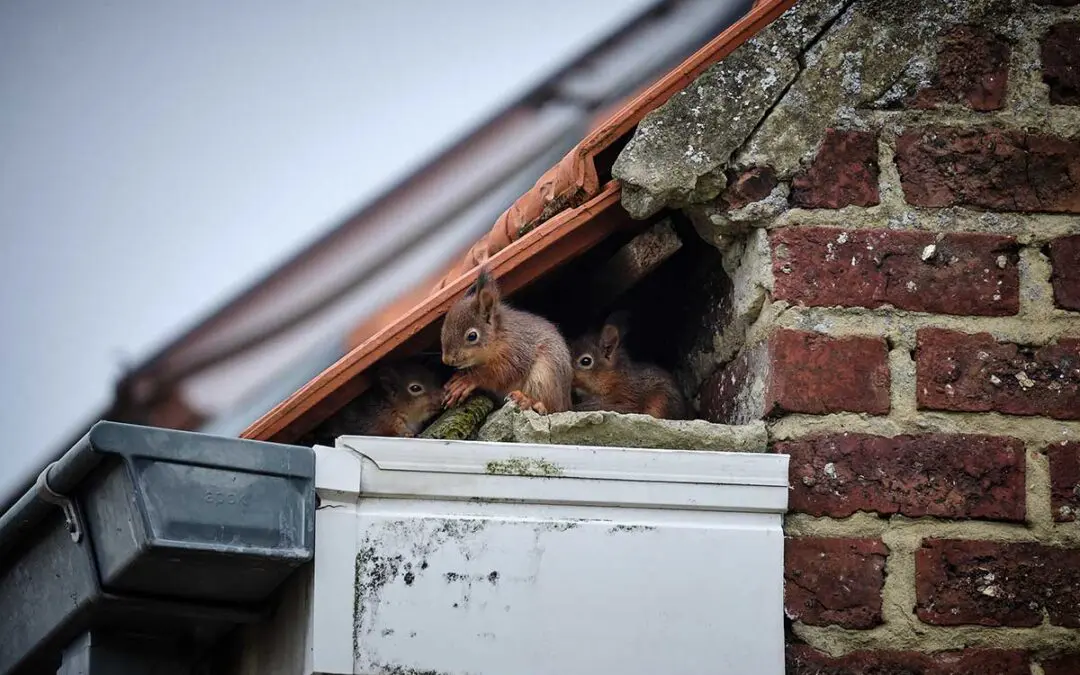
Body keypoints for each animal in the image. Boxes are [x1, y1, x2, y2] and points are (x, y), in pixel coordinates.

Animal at [438, 264, 574, 412]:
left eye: (472, 336)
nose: (447, 360)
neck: (499, 337)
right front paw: (456, 378)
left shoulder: (515, 349)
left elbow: (501, 373)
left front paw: (467, 381)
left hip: (545, 375)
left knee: (549, 406)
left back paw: (528, 400)